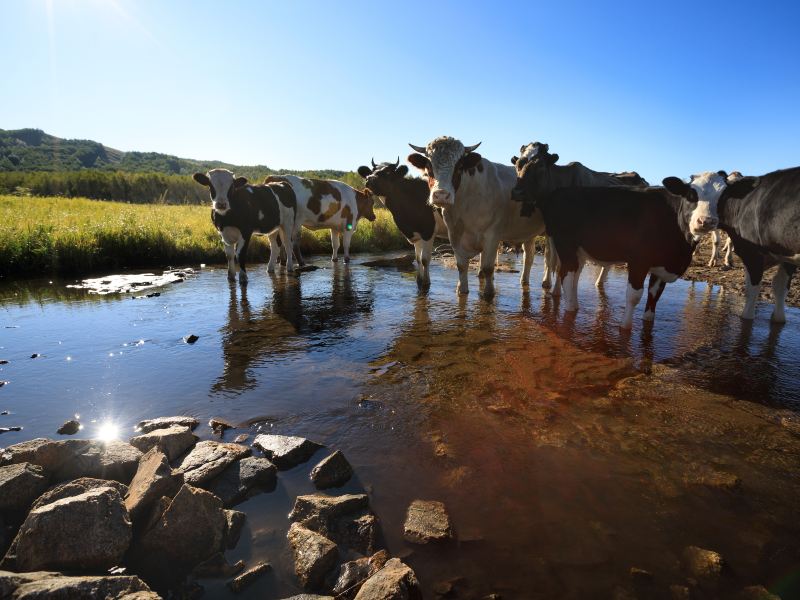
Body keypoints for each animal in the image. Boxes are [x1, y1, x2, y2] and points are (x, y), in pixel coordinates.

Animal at [358, 158, 450, 290]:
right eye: (371, 171)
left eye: (388, 172)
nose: (369, 178)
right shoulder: (415, 234)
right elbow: (418, 259)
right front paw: (419, 280)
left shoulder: (428, 231)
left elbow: (425, 259)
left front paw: (426, 283)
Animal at [410, 135, 548, 296]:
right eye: (428, 167)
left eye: (459, 166)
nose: (441, 195)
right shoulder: (454, 235)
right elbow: (462, 266)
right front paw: (462, 289)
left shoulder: (492, 236)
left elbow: (488, 268)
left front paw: (488, 293)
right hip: (528, 233)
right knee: (529, 257)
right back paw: (524, 281)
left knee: (550, 260)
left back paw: (547, 282)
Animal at [516, 165, 720, 328]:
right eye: (691, 194)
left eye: (723, 196)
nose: (706, 221)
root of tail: (558, 193)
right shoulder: (639, 261)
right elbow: (634, 296)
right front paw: (625, 328)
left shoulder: (661, 268)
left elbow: (654, 296)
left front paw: (648, 323)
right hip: (565, 243)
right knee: (567, 275)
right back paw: (571, 309)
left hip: (577, 249)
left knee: (573, 275)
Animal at [668, 168, 792, 324]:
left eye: (725, 194)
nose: (706, 221)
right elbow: (716, 240)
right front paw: (713, 260)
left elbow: (730, 241)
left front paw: (728, 260)